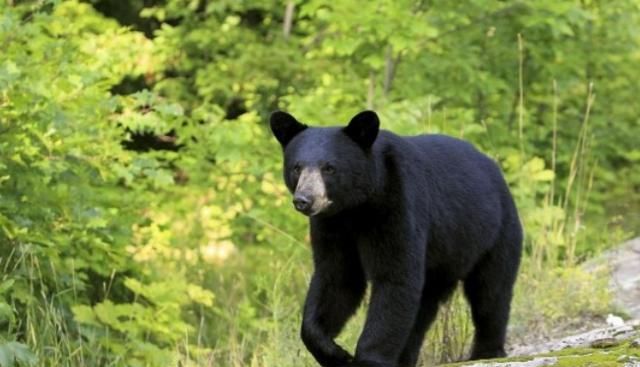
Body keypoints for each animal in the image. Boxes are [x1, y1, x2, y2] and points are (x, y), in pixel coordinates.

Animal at [268, 110, 524, 367]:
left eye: (329, 168)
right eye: (297, 167)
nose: (304, 200)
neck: (356, 207)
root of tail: (493, 167)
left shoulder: (397, 204)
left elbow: (395, 278)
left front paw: (367, 358)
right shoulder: (332, 225)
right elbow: (336, 279)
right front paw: (335, 353)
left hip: (493, 233)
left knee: (491, 292)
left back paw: (487, 350)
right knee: (423, 308)